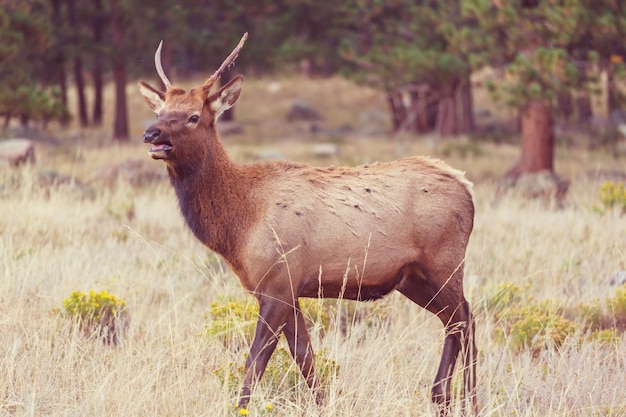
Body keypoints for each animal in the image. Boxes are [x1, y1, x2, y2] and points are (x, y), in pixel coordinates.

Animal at [139, 33, 476, 412]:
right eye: (159, 112)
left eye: (193, 116)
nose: (151, 134)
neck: (239, 228)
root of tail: (467, 187)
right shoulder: (284, 289)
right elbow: (304, 356)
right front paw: (323, 404)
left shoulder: (278, 282)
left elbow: (256, 360)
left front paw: (241, 407)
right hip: (412, 278)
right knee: (456, 321)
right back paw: (446, 397)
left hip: (444, 263)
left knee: (465, 318)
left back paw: (461, 398)